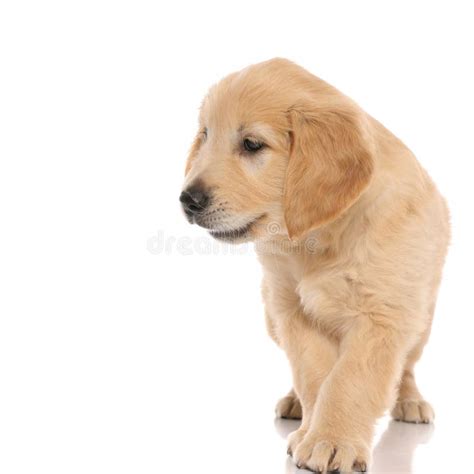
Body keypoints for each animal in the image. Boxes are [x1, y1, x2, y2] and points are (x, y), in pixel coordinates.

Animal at [180, 58, 450, 470]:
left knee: (405, 367)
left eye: (252, 144)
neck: (318, 240)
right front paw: (315, 432)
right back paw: (295, 404)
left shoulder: (383, 316)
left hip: (422, 319)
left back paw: (409, 401)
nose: (187, 200)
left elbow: (350, 379)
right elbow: (315, 375)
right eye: (205, 135)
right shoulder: (291, 311)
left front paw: (334, 440)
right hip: (271, 316)